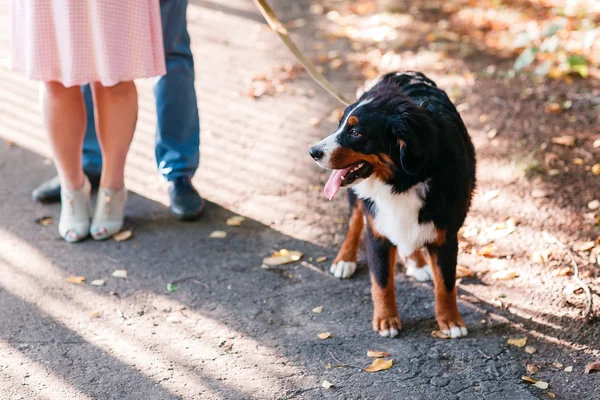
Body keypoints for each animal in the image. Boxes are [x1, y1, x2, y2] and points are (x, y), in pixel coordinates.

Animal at [310, 71, 474, 338]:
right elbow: (382, 281)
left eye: (355, 132)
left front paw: (451, 322)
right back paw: (345, 259)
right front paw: (386, 320)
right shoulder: (377, 232)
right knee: (353, 223)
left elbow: (446, 285)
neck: (404, 181)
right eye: (340, 124)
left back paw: (417, 263)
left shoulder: (445, 235)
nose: (313, 151)